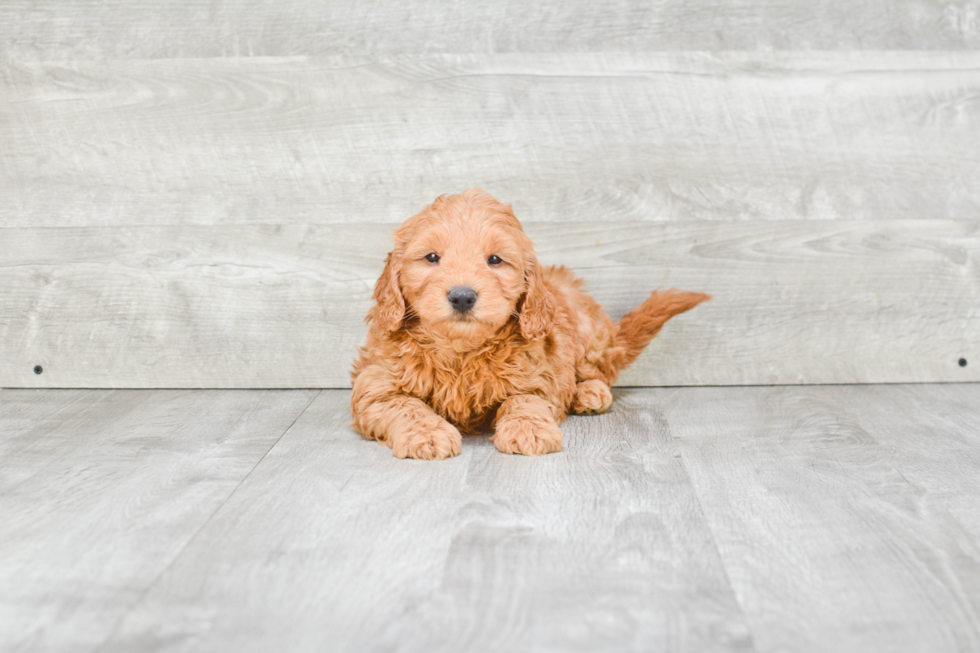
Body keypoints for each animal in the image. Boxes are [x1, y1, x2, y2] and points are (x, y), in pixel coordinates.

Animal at [356, 188, 708, 458]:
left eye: (495, 260)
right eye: (431, 257)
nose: (462, 296)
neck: (462, 351)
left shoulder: (539, 375)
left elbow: (525, 400)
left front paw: (528, 430)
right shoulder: (376, 384)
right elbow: (406, 406)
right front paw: (427, 434)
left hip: (587, 332)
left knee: (600, 370)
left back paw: (590, 393)